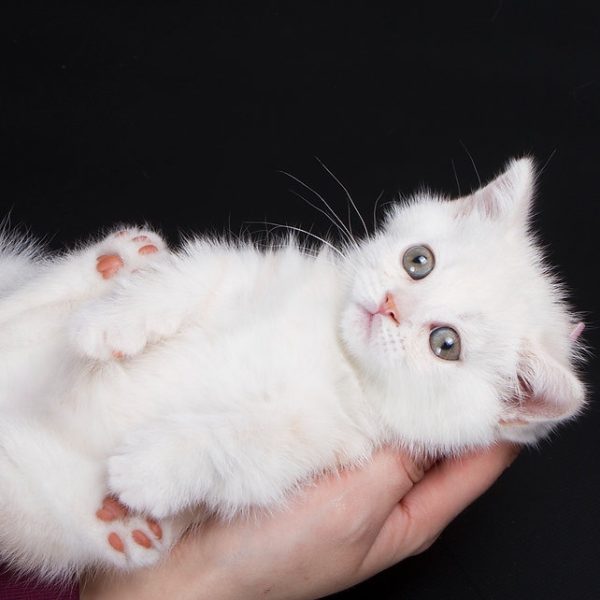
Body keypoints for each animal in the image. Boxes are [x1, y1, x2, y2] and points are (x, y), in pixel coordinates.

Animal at [0, 157, 584, 580]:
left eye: (446, 343)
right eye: (419, 261)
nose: (389, 306)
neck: (333, 347)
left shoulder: (320, 441)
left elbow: (239, 444)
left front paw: (147, 468)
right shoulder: (247, 269)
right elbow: (193, 277)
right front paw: (112, 323)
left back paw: (119, 532)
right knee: (16, 301)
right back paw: (111, 264)